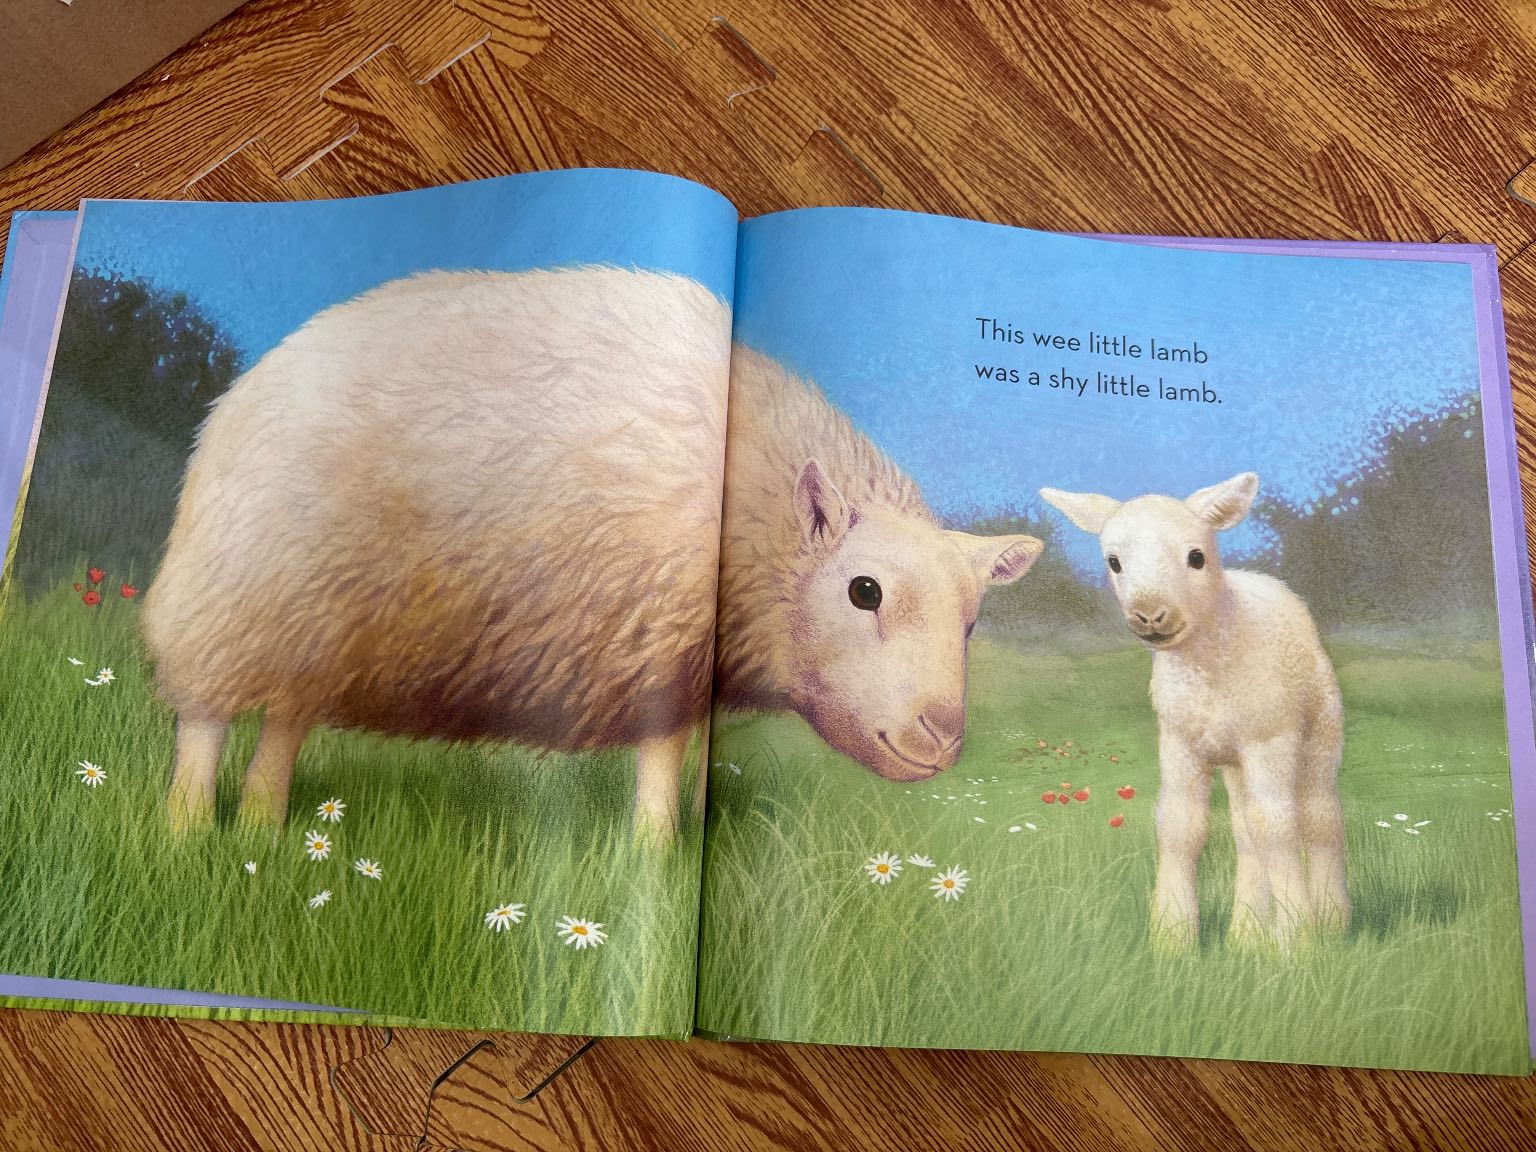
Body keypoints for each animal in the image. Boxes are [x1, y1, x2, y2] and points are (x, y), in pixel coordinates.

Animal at [145, 265, 1044, 840]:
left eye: (973, 621)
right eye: (864, 591)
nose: (942, 739)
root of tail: (239, 395)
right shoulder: (658, 639)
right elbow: (662, 768)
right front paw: (654, 862)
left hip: (320, 628)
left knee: (284, 726)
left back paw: (261, 828)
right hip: (238, 600)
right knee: (205, 726)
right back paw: (188, 838)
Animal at [1040, 473, 1347, 946]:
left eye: (1196, 557)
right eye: (1114, 562)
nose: (1150, 615)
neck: (1207, 671)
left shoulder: (1269, 738)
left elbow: (1276, 826)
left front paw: (1296, 941)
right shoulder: (1178, 741)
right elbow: (1180, 826)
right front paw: (1172, 938)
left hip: (1320, 728)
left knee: (1317, 818)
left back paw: (1332, 922)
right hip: (1235, 761)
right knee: (1244, 829)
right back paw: (1246, 936)